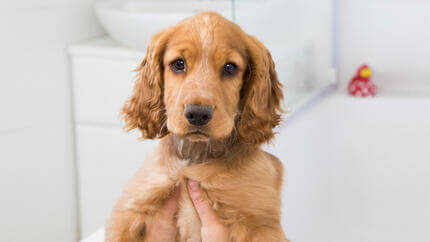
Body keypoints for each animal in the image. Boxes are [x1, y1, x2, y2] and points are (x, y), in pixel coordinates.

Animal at [106, 11, 288, 242]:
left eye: (230, 67)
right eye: (178, 64)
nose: (198, 115)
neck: (194, 156)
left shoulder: (261, 223)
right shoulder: (130, 208)